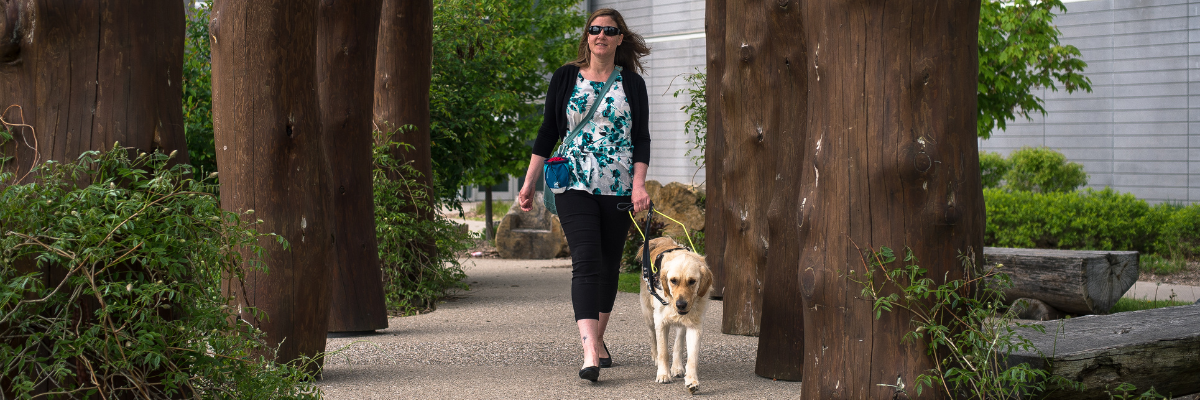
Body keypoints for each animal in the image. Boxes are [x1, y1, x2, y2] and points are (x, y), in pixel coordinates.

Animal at [638, 235, 710, 393]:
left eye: (692, 281)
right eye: (673, 281)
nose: (681, 304)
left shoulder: (695, 326)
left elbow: (692, 357)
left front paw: (692, 381)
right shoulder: (660, 322)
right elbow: (663, 351)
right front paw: (663, 374)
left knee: (678, 342)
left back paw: (677, 367)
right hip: (648, 315)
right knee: (652, 335)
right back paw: (655, 356)